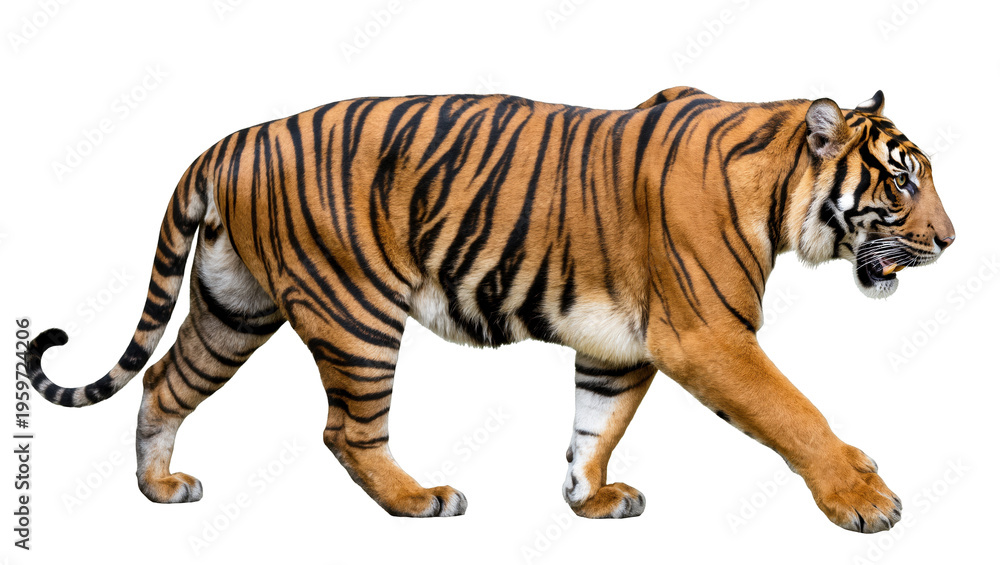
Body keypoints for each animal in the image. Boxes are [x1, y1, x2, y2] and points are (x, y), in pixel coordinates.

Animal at [26, 86, 954, 532]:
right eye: (903, 181)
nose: (950, 240)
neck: (778, 191)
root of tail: (231, 140)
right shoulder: (708, 335)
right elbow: (795, 411)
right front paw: (864, 498)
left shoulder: (619, 348)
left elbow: (594, 425)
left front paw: (590, 499)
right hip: (356, 313)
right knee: (346, 430)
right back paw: (419, 499)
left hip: (233, 307)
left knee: (163, 385)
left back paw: (160, 487)